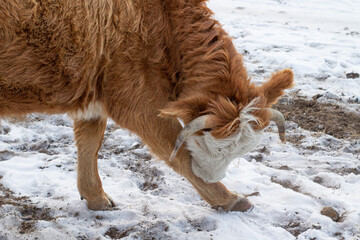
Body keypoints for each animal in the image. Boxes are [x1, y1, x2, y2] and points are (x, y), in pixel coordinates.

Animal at [0, 0, 294, 210]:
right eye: (206, 143)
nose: (210, 177)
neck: (166, 22)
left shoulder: (97, 93)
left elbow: (90, 144)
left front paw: (95, 197)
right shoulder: (139, 100)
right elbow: (179, 154)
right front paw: (227, 198)